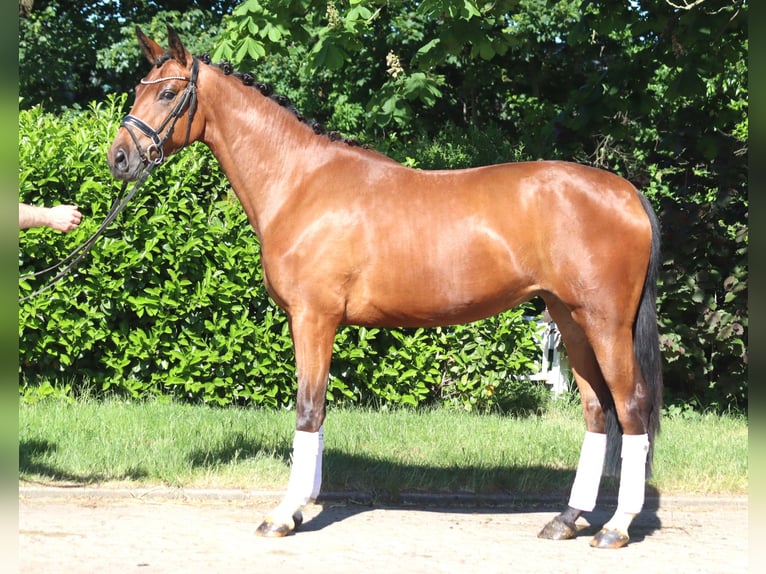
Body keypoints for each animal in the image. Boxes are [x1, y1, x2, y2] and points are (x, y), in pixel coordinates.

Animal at [108, 26, 663, 549]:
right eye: (137, 89)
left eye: (167, 93)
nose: (119, 158)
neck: (300, 182)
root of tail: (627, 193)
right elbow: (319, 410)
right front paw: (303, 505)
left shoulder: (313, 317)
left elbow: (307, 408)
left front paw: (284, 515)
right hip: (569, 320)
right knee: (596, 410)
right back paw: (566, 520)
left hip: (605, 323)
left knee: (631, 406)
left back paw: (616, 527)